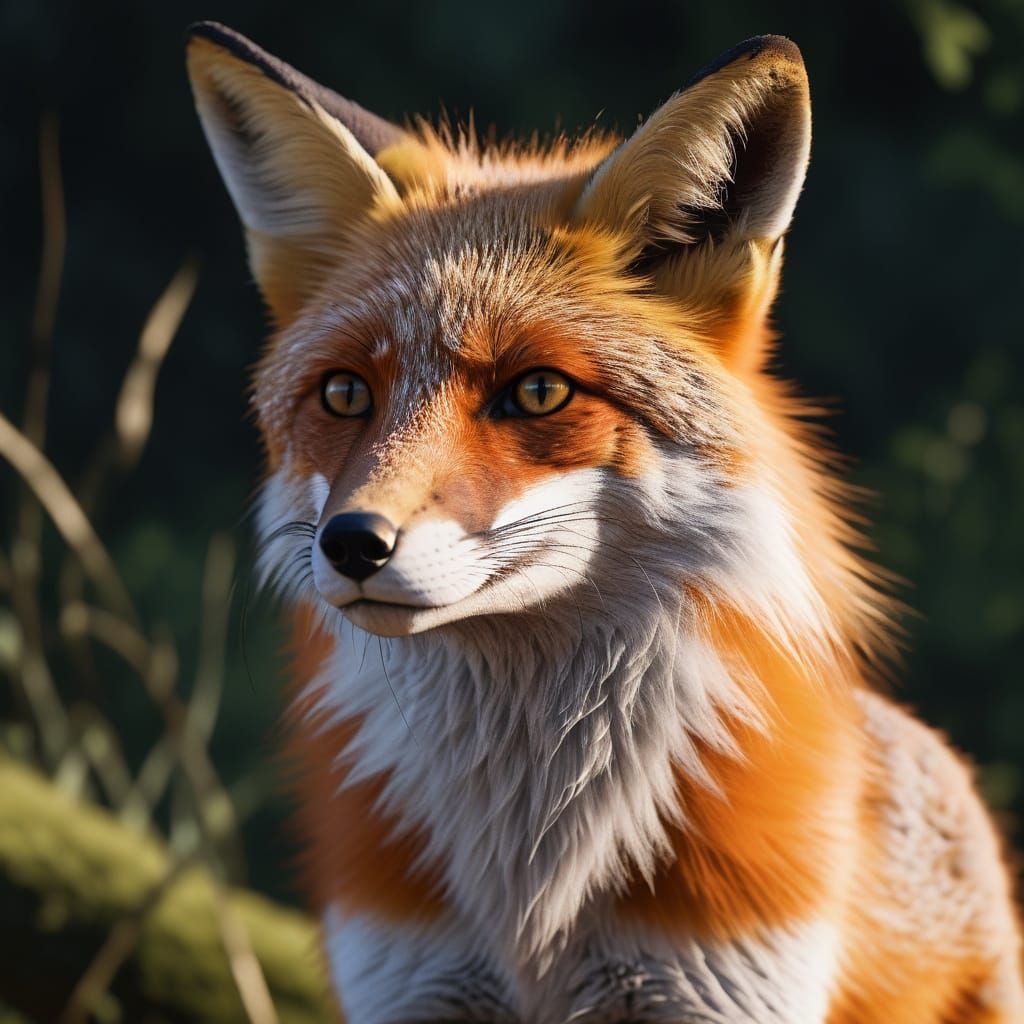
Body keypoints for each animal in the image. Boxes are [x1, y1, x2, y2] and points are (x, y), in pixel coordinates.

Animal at [185, 21, 1023, 1023]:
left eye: (538, 391)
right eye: (345, 394)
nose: (351, 543)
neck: (533, 897)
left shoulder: (718, 984)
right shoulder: (412, 983)